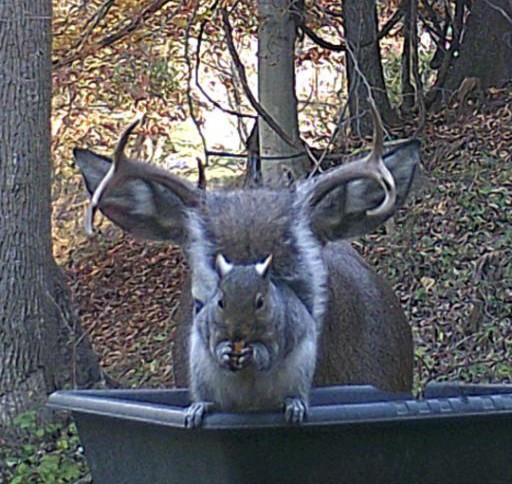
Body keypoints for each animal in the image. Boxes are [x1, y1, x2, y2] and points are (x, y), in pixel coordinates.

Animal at [186, 253, 318, 428]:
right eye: (220, 302)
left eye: (260, 303)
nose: (237, 334)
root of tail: (250, 406)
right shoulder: (211, 328)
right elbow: (214, 346)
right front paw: (223, 351)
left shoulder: (281, 332)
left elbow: (269, 356)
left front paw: (254, 354)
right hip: (203, 374)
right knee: (215, 402)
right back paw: (201, 406)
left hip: (300, 370)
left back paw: (294, 404)